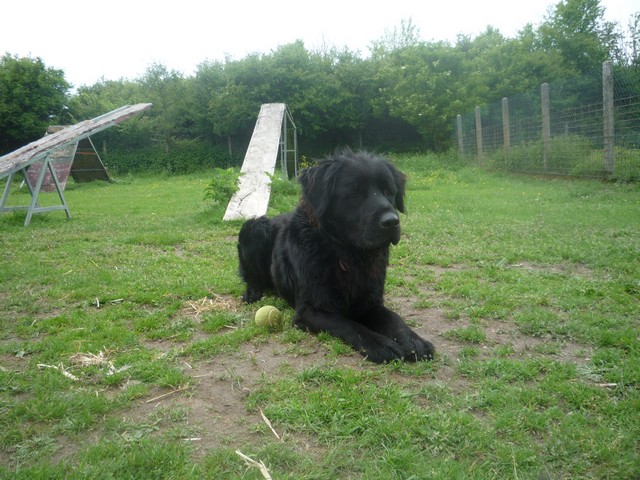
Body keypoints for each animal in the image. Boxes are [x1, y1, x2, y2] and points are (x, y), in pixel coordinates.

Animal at [235, 152, 436, 362]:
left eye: (389, 191)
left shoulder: (371, 302)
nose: (391, 221)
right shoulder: (310, 310)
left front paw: (414, 341)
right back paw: (252, 292)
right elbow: (349, 325)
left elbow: (394, 318)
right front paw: (381, 344)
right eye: (354, 193)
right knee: (251, 276)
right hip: (255, 228)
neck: (349, 256)